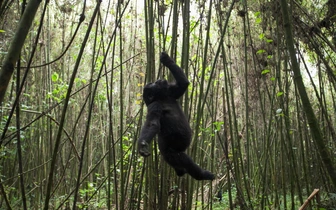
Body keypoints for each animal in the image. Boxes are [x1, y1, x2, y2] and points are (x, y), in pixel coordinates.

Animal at [137, 51, 214, 180]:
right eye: (152, 84)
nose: (157, 81)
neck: (162, 98)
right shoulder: (154, 105)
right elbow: (152, 123)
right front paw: (142, 145)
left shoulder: (171, 91)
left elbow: (183, 84)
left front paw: (166, 59)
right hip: (170, 153)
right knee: (184, 159)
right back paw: (202, 174)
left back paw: (181, 171)